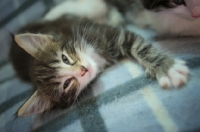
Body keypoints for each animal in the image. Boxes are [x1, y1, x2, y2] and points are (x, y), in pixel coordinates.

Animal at [10, 15, 189, 116]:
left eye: (65, 58)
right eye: (66, 84)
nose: (83, 70)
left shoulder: (111, 34)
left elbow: (140, 47)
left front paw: (167, 67)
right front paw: (166, 68)